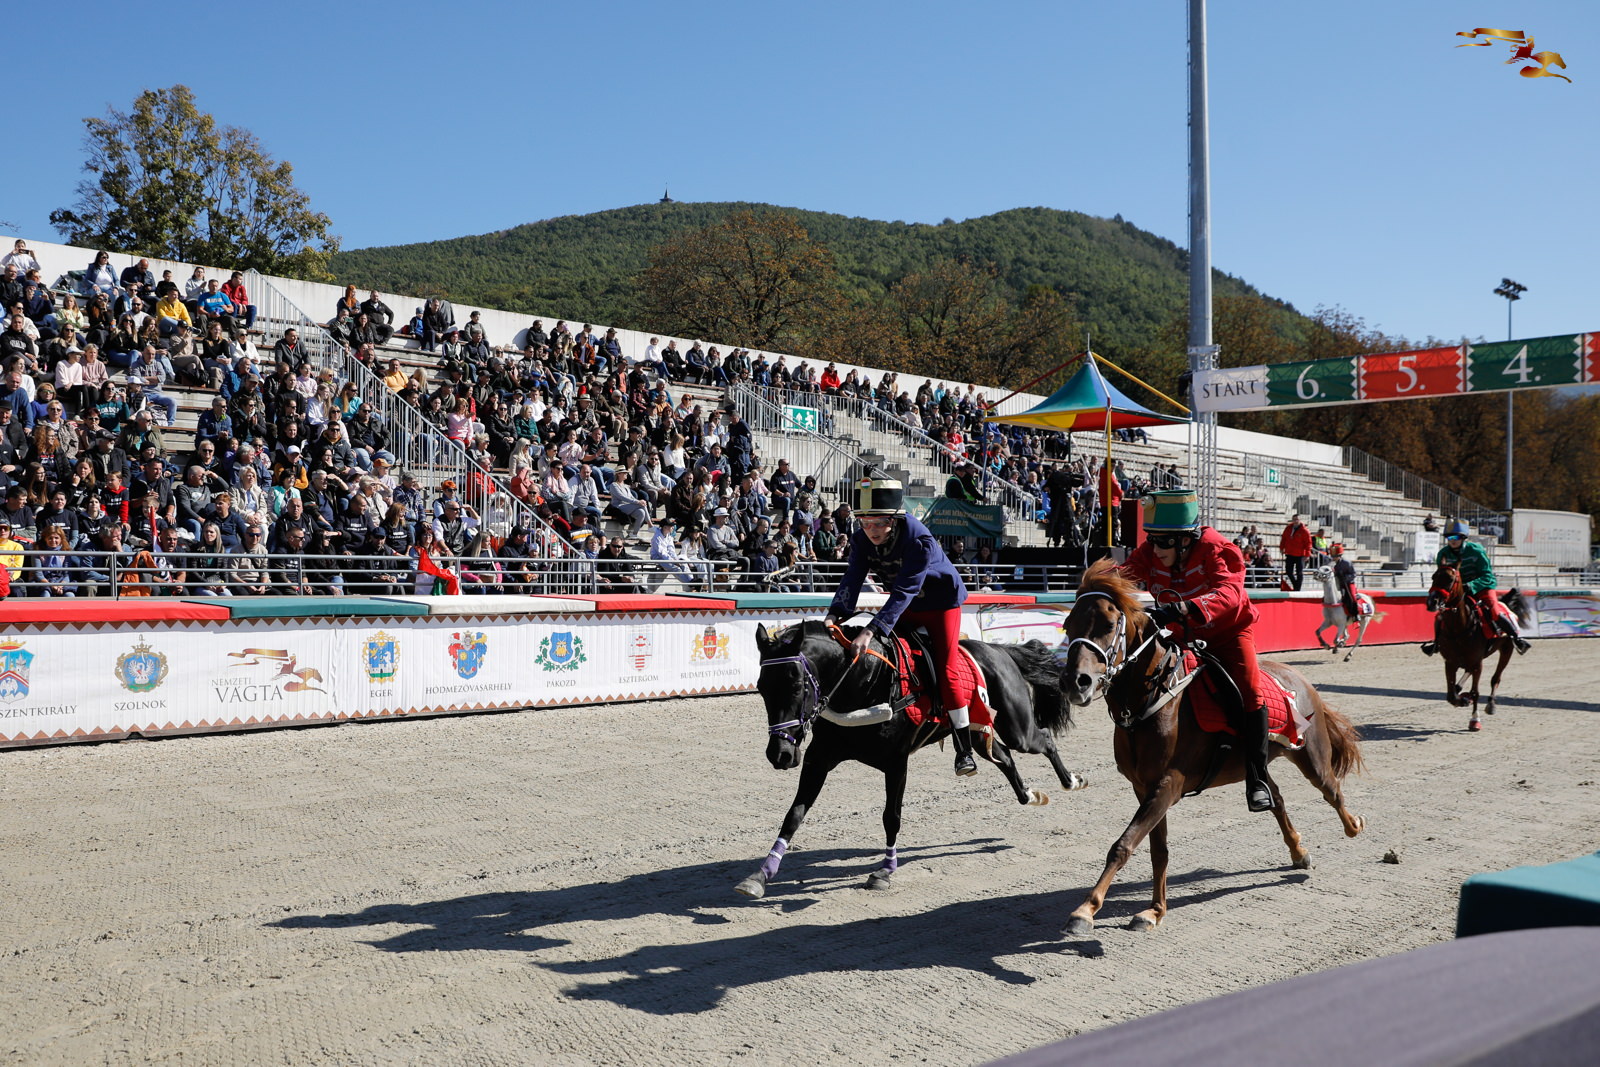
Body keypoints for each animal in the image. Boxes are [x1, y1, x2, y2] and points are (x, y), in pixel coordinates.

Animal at [739, 618, 1084, 898]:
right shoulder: (818, 759)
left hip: (1017, 725)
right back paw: (1029, 794)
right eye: (762, 687)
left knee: (1043, 739)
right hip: (976, 731)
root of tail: (999, 650)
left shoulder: (896, 763)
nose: (779, 754)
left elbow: (891, 816)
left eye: (797, 685)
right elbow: (793, 815)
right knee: (1006, 757)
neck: (865, 683)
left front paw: (885, 870)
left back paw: (1072, 780)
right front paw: (762, 874)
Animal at [1058, 559, 1365, 934]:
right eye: (1069, 625)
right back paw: (1297, 851)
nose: (1076, 682)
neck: (1156, 699)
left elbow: (1124, 844)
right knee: (1276, 797)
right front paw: (1155, 910)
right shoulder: (1144, 787)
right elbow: (1157, 849)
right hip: (1256, 766)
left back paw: (1353, 826)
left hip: (1312, 756)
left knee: (1332, 791)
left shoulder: (1168, 784)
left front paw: (1085, 909)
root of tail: (1300, 679)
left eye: (1107, 624)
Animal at [1425, 563, 1529, 731]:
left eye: (1450, 579)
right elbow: (1450, 696)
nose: (1431, 602)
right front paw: (1461, 699)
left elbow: (1475, 692)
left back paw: (1490, 704)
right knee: (1467, 672)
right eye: (1434, 576)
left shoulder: (1478, 661)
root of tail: (1505, 600)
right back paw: (1460, 690)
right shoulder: (1450, 662)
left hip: (1506, 650)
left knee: (1496, 678)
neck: (1458, 628)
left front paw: (1474, 720)